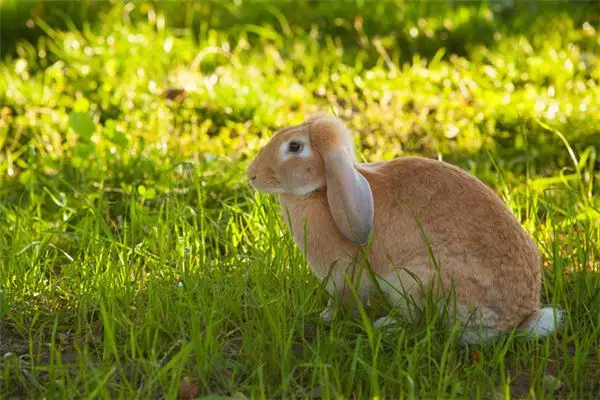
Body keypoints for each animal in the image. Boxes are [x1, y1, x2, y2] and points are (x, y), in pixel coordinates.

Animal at [245, 112, 564, 344]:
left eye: (295, 147)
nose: (251, 175)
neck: (326, 189)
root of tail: (519, 320)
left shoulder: (344, 274)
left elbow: (342, 300)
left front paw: (326, 317)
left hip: (413, 281)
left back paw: (384, 326)